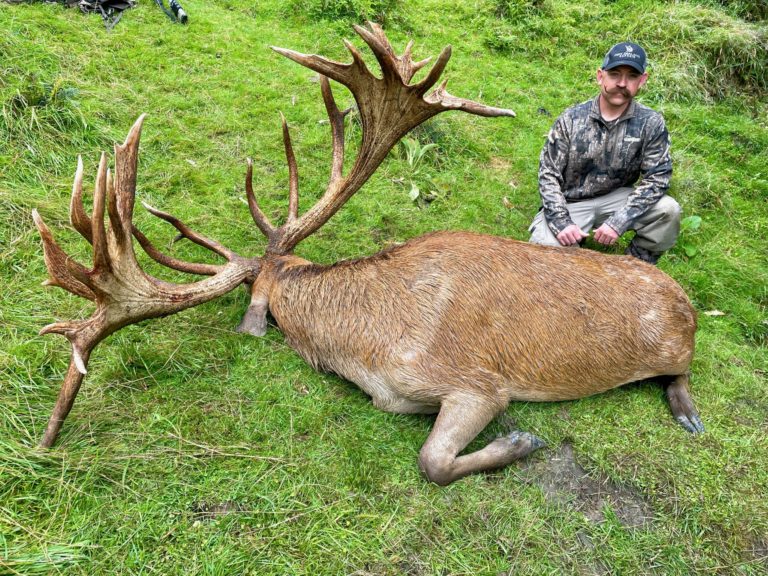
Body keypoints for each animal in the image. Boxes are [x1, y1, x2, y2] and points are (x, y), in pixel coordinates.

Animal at [32, 24, 703, 485]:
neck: (365, 347)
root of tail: (691, 306)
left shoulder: (477, 382)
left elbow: (433, 460)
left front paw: (522, 444)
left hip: (673, 344)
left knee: (681, 370)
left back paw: (687, 411)